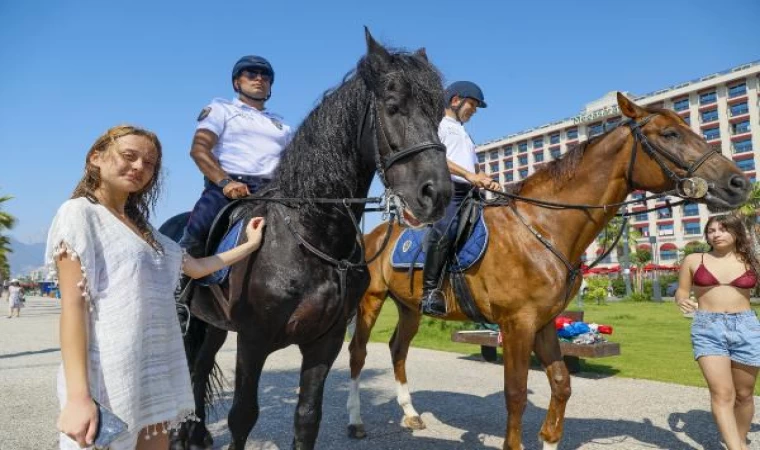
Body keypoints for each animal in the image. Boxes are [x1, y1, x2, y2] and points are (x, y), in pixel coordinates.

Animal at [162, 29, 452, 448]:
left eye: (438, 113)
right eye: (393, 106)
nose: (437, 194)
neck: (310, 237)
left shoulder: (324, 341)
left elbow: (307, 417)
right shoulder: (253, 340)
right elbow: (242, 416)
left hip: (213, 325)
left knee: (200, 369)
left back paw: (198, 434)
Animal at [348, 92, 752, 450]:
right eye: (669, 134)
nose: (739, 182)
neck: (542, 226)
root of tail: (375, 233)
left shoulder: (542, 322)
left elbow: (561, 382)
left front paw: (550, 438)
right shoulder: (517, 324)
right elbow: (515, 393)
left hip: (410, 307)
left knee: (398, 349)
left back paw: (410, 413)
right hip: (371, 300)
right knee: (357, 352)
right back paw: (355, 422)